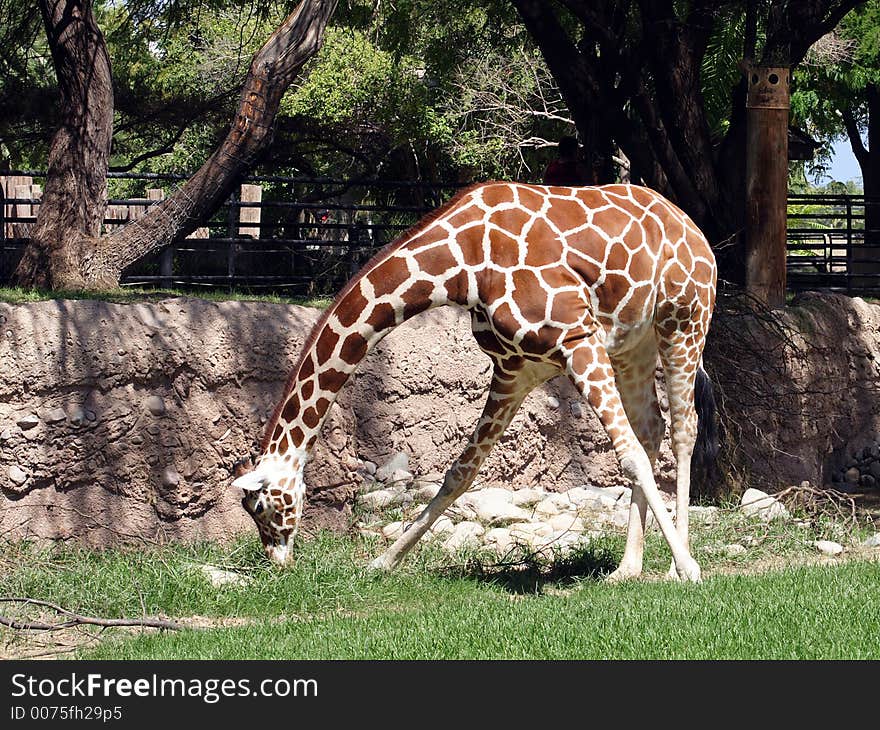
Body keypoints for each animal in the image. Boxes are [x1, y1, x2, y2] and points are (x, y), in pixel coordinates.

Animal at [232, 181, 716, 580]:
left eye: (261, 506)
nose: (278, 563)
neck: (460, 264)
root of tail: (694, 228)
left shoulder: (577, 338)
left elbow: (628, 456)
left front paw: (688, 569)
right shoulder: (515, 369)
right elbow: (460, 472)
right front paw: (384, 561)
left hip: (683, 320)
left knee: (682, 429)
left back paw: (675, 563)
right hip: (633, 346)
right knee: (651, 427)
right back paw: (627, 569)